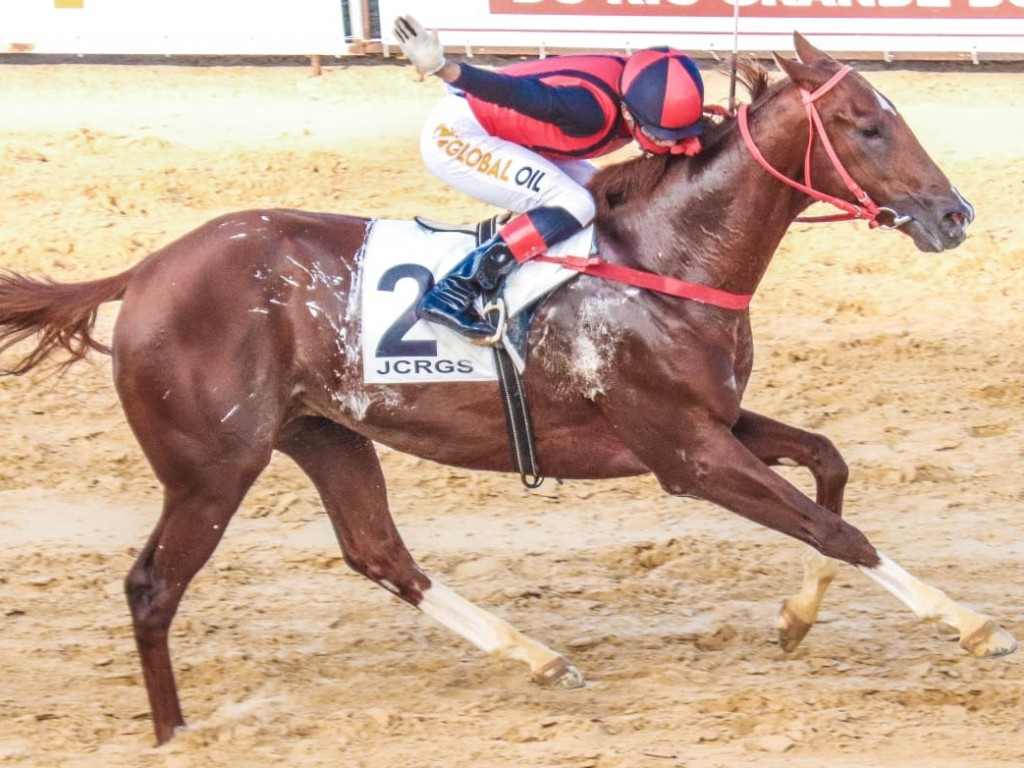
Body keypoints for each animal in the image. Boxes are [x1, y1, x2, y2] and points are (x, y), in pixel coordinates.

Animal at [0, 36, 1011, 745]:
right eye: (867, 125)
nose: (954, 213)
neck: (667, 255)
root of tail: (146, 270)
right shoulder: (687, 454)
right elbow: (837, 528)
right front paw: (973, 627)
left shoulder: (714, 422)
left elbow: (829, 470)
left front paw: (798, 620)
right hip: (211, 467)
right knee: (152, 586)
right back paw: (174, 734)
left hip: (324, 432)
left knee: (380, 554)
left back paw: (538, 660)